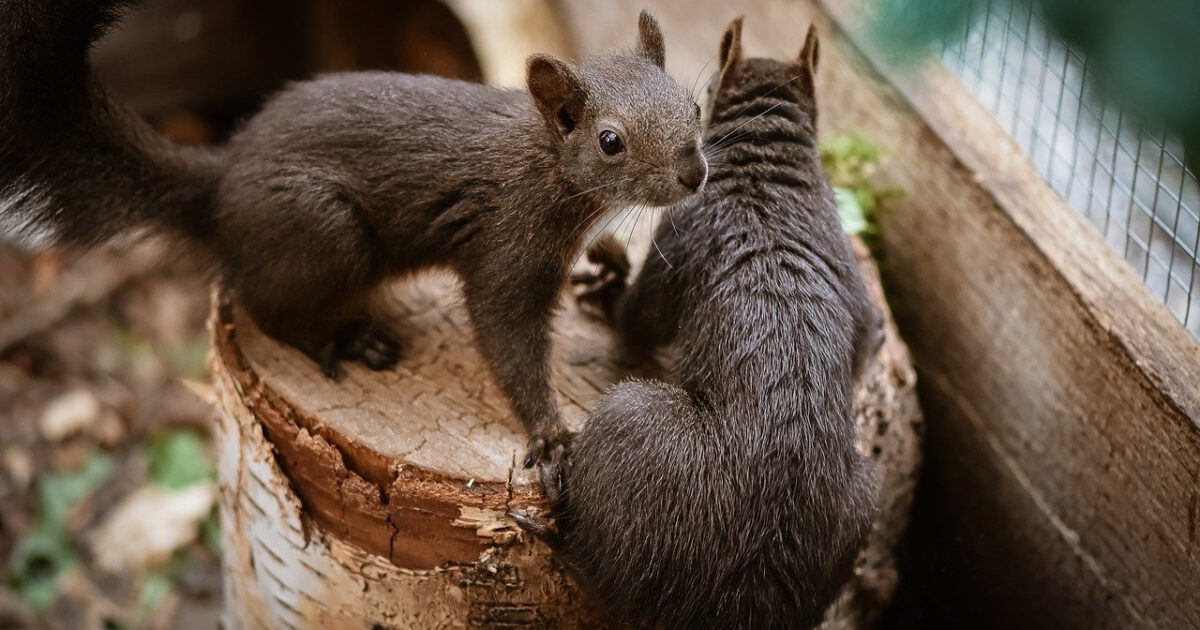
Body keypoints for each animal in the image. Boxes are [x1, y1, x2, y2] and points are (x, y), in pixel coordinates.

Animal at [0, 2, 705, 463]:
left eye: (693, 104)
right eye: (610, 141)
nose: (695, 172)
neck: (549, 165)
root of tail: (219, 185)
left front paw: (609, 259)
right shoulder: (507, 243)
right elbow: (507, 338)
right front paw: (550, 434)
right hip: (327, 233)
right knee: (262, 304)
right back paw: (343, 339)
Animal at [520, 17, 888, 624]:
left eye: (701, 103)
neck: (768, 171)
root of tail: (744, 597)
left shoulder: (683, 233)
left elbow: (638, 319)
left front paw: (611, 285)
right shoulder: (848, 267)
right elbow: (867, 338)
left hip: (629, 420)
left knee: (603, 577)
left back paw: (560, 531)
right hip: (862, 503)